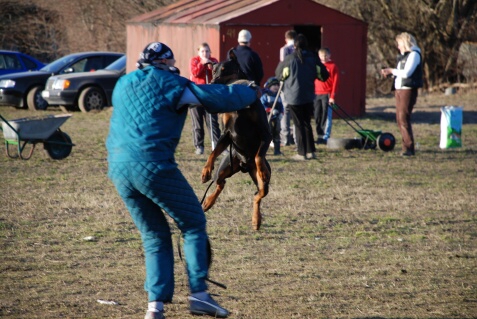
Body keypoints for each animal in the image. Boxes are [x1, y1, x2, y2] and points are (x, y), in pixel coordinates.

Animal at [199, 48, 270, 231]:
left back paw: (256, 219)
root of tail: (243, 165)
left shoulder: (265, 133)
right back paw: (208, 202)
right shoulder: (227, 133)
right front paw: (205, 171)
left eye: (225, 70)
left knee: (258, 194)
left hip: (261, 182)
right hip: (226, 166)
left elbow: (259, 155)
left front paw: (262, 170)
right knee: (220, 183)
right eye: (213, 71)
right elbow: (214, 152)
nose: (211, 83)